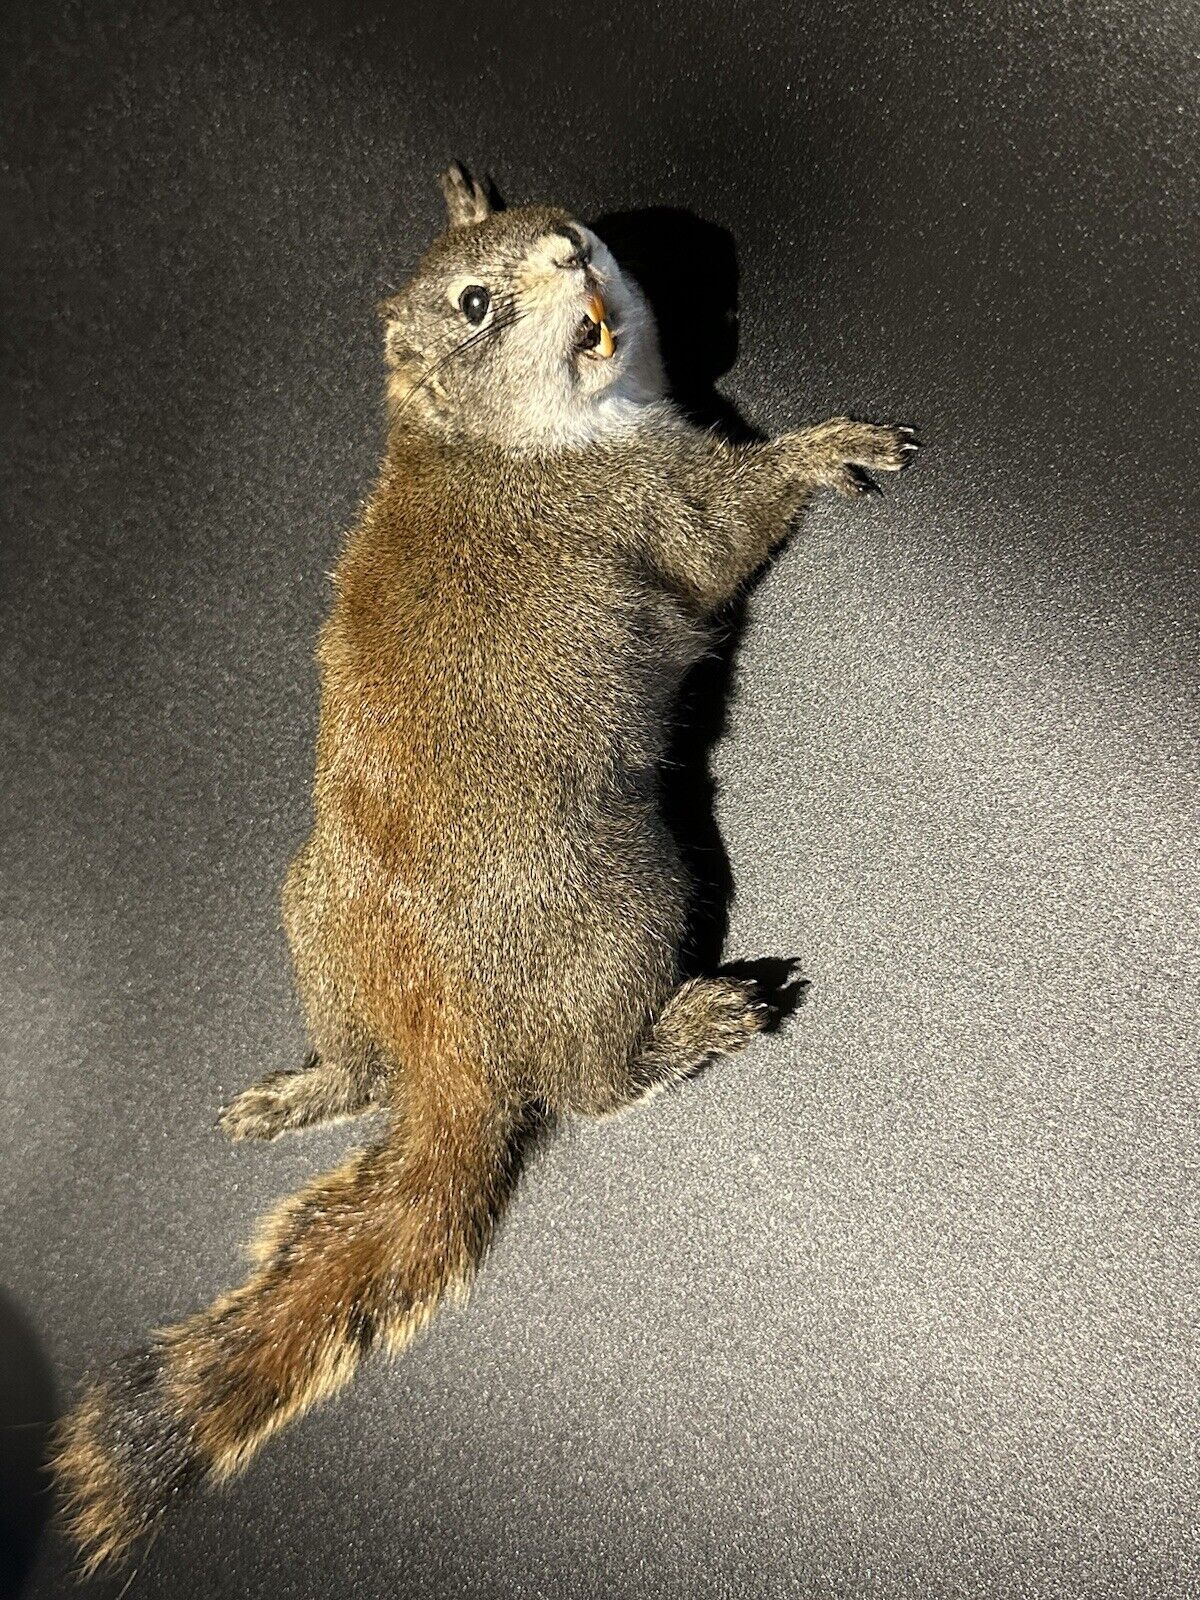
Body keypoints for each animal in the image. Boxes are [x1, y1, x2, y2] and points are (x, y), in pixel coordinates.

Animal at [51, 162, 918, 1574]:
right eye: (475, 301)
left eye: (552, 217)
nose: (576, 248)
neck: (488, 441)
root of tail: (443, 1032)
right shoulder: (654, 506)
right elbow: (728, 525)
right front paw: (826, 447)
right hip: (628, 907)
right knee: (591, 1083)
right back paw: (692, 1025)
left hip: (311, 916)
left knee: (361, 1064)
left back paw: (307, 1089)